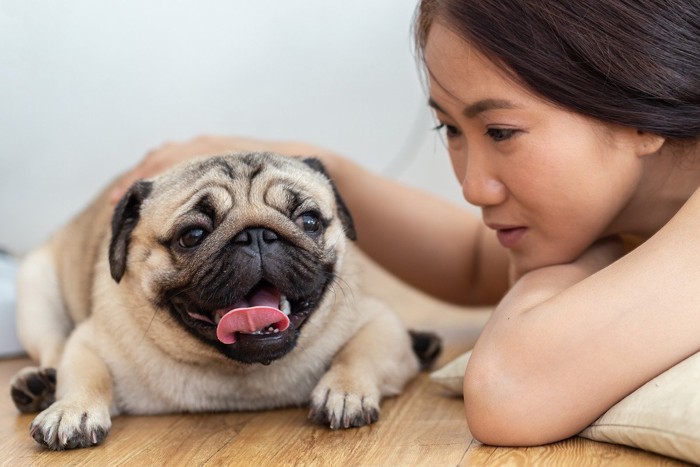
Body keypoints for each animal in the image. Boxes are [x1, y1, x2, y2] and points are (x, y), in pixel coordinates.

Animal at [9, 153, 438, 450]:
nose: (257, 235)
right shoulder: (91, 340)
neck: (238, 375)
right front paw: (71, 410)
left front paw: (344, 391)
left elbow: (360, 353)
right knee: (54, 346)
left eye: (309, 221)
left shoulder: (377, 321)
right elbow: (85, 372)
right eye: (193, 236)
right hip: (35, 294)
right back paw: (39, 384)